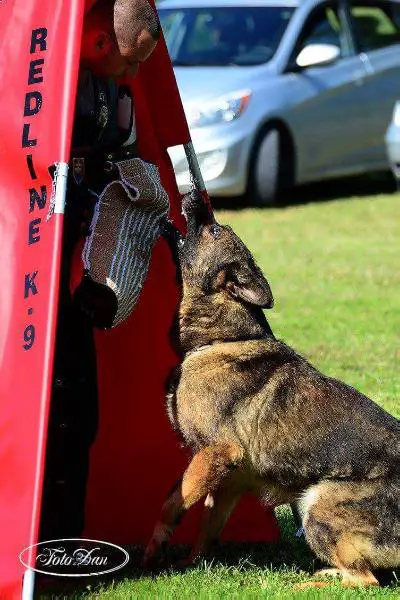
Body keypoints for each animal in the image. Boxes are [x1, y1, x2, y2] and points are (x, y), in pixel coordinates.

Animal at [145, 193, 398, 592]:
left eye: (214, 229)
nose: (196, 196)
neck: (225, 337)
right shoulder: (229, 478)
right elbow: (206, 525)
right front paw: (191, 564)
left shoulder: (216, 452)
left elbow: (173, 503)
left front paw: (155, 548)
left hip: (316, 502)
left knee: (366, 580)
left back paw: (305, 584)